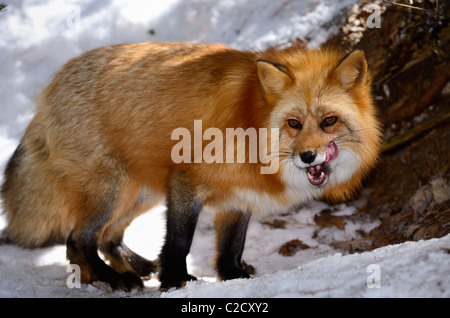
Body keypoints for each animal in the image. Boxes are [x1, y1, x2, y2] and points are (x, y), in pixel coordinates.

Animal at [0, 42, 380, 290]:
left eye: (329, 121)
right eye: (294, 124)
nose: (308, 157)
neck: (250, 120)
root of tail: (51, 86)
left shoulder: (239, 196)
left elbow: (232, 246)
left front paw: (232, 277)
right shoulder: (187, 181)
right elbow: (179, 240)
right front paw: (175, 280)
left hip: (140, 193)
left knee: (108, 237)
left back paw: (137, 266)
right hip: (113, 190)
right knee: (77, 241)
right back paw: (113, 279)